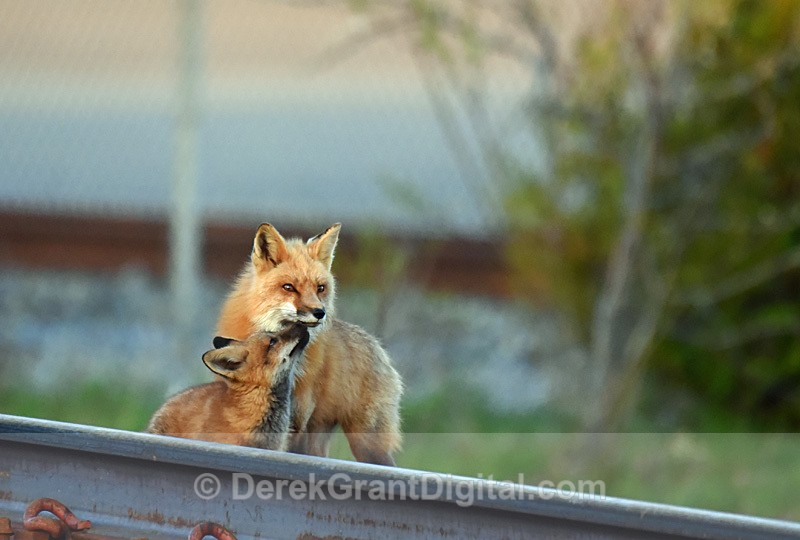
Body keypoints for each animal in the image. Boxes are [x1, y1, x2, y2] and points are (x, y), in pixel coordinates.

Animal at [216, 222, 403, 466]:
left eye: (320, 288)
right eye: (288, 287)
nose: (320, 313)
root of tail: (378, 347)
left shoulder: (297, 419)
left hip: (365, 443)